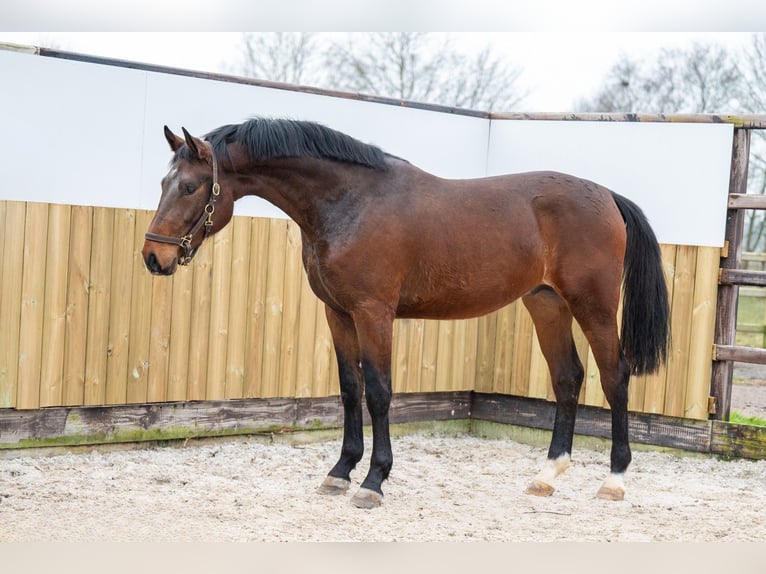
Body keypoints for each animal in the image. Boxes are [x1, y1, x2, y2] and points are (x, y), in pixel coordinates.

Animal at [144, 117, 672, 508]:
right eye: (164, 181)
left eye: (189, 187)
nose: (154, 257)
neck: (349, 203)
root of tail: (607, 196)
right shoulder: (338, 313)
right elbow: (350, 389)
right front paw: (340, 472)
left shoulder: (373, 312)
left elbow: (379, 392)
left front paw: (373, 481)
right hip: (546, 303)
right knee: (568, 377)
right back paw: (548, 474)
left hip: (593, 305)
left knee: (615, 376)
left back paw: (614, 480)